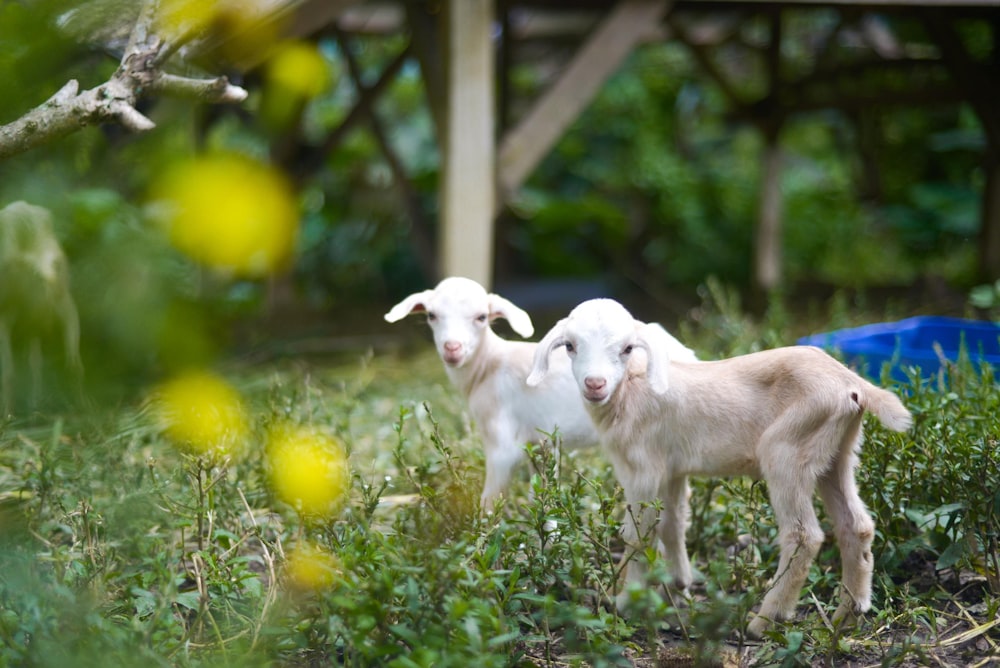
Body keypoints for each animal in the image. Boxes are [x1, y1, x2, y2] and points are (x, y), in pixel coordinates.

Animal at [382, 276, 696, 512]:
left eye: (482, 317)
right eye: (432, 315)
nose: (452, 348)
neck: (488, 365)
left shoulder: (501, 443)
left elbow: (490, 502)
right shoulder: (538, 441)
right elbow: (541, 496)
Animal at [532, 300, 916, 640]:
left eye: (627, 348)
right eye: (570, 346)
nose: (595, 384)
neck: (630, 388)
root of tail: (853, 387)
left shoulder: (641, 468)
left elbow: (637, 534)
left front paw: (626, 601)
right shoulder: (672, 469)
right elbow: (673, 523)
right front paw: (679, 585)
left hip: (787, 451)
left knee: (804, 535)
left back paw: (766, 619)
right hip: (838, 453)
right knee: (857, 526)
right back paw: (847, 615)